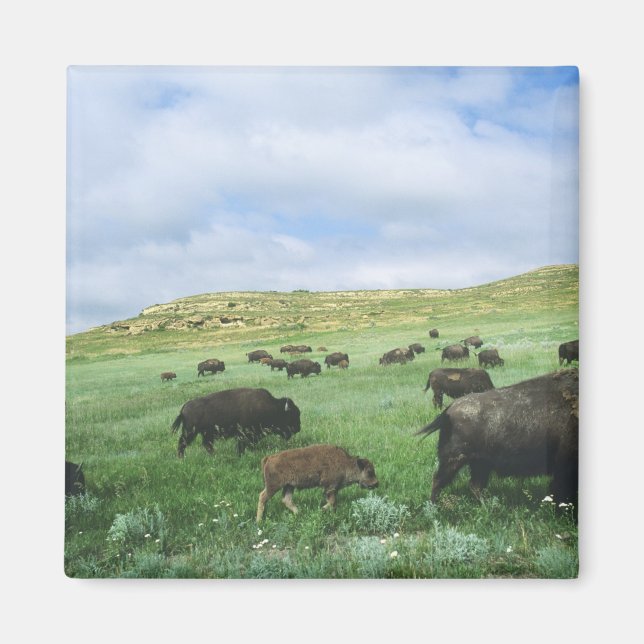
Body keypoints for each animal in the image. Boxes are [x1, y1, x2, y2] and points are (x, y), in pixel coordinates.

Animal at [172, 387, 301, 457]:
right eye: (292, 415)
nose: (298, 428)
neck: (272, 407)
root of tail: (184, 408)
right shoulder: (243, 434)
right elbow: (241, 446)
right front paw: (241, 455)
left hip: (206, 434)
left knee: (207, 445)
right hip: (190, 433)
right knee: (182, 444)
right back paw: (181, 458)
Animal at [416, 369, 579, 512]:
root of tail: (449, 411)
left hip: (479, 464)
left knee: (474, 485)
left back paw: (487, 506)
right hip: (454, 460)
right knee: (438, 481)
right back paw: (434, 508)